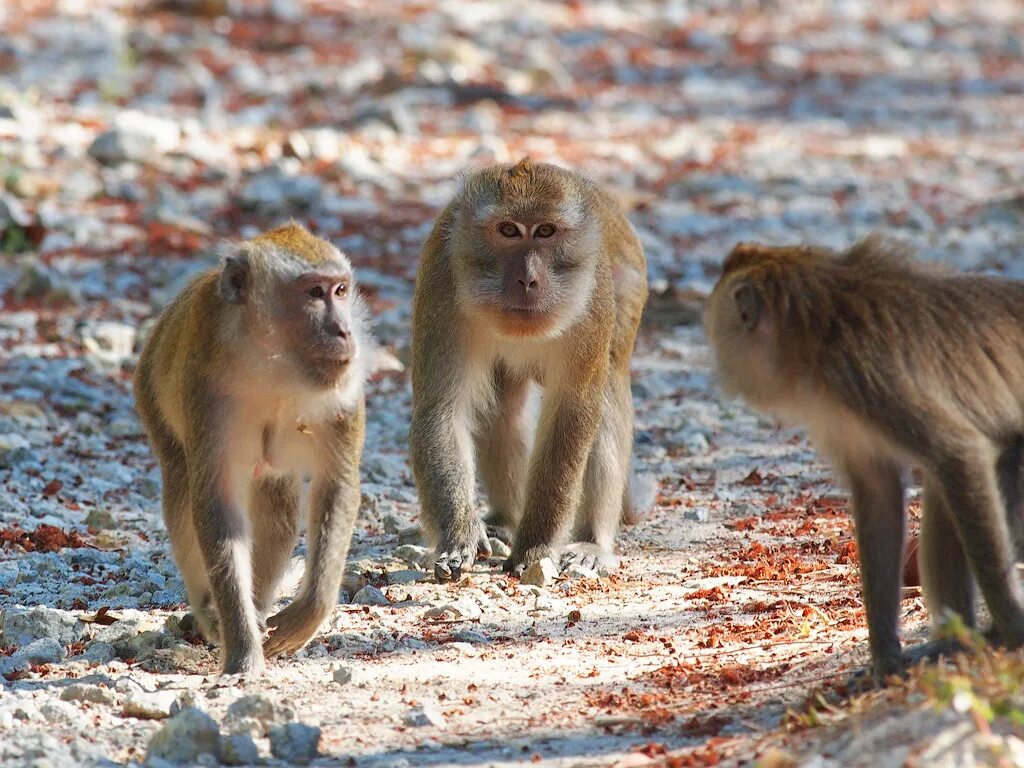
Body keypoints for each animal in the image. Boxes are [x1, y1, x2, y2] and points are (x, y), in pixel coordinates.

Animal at [409, 157, 643, 581]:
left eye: (546, 231)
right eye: (508, 231)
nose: (527, 279)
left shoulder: (593, 300)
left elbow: (572, 412)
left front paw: (536, 545)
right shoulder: (441, 280)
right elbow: (442, 409)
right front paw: (458, 536)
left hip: (627, 292)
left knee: (607, 396)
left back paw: (591, 543)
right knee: (502, 409)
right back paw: (504, 519)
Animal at [708, 237, 1024, 684]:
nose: (719, 371)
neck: (820, 327)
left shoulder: (861, 374)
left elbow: (957, 451)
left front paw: (1012, 628)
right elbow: (879, 493)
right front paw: (885, 659)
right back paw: (953, 642)